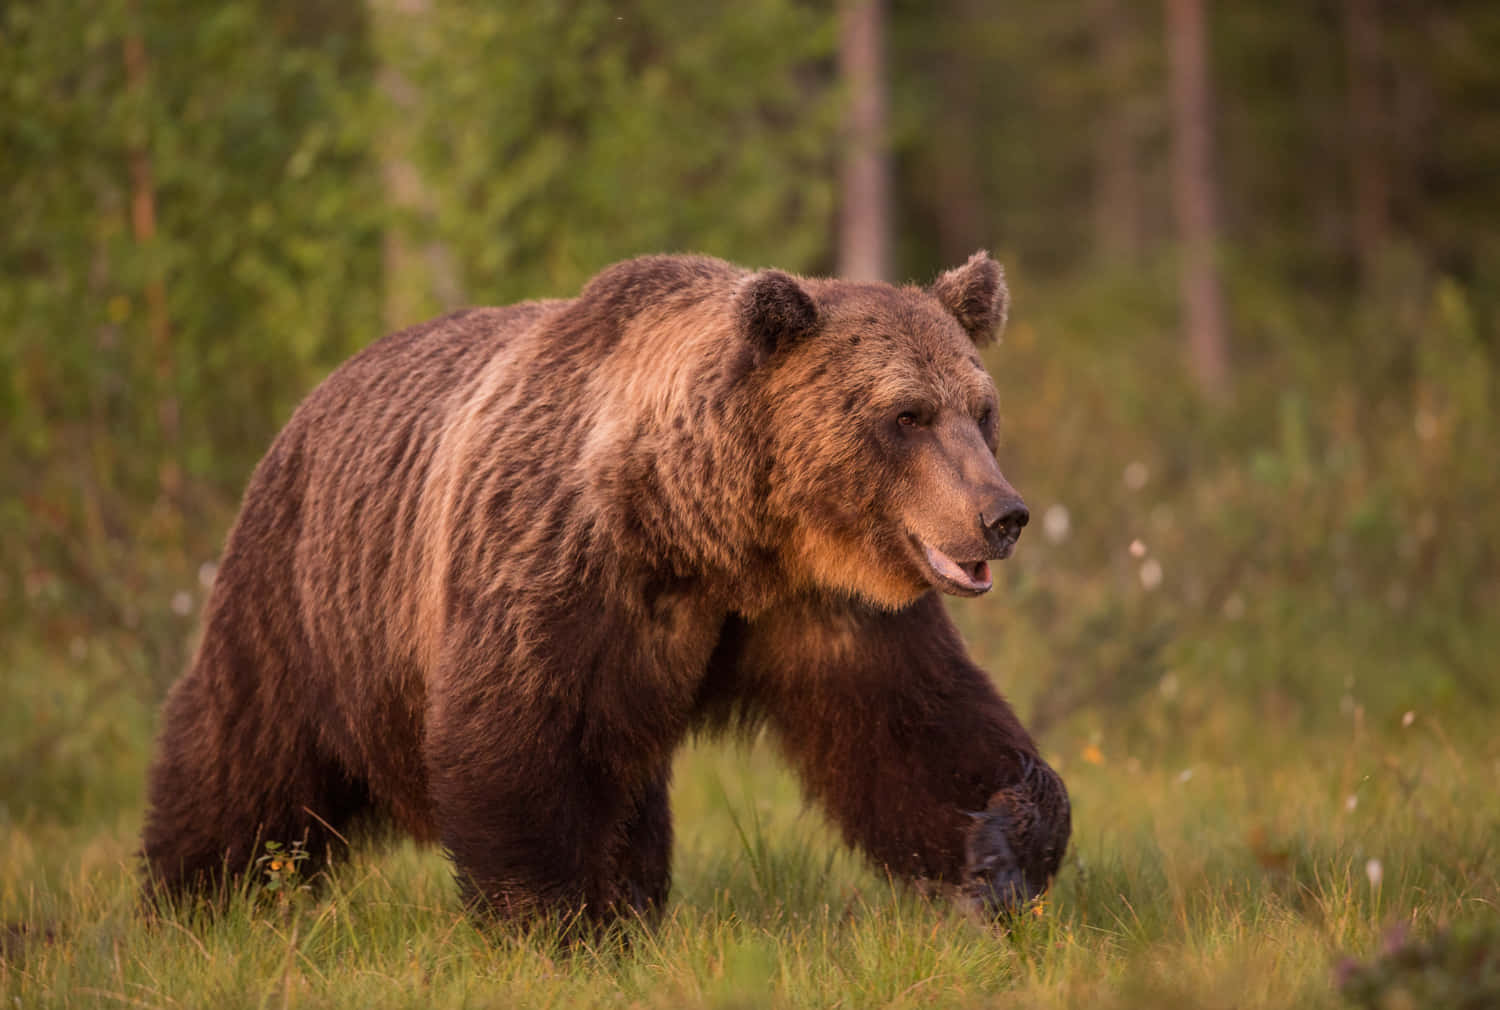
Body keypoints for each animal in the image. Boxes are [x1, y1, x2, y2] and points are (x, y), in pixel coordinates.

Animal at [141, 251, 1071, 929]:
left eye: (979, 408)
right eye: (906, 415)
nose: (1002, 515)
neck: (712, 534)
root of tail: (318, 393)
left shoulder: (828, 607)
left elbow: (914, 731)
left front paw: (1000, 850)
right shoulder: (561, 564)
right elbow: (519, 739)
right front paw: (561, 923)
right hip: (307, 596)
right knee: (243, 756)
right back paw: (193, 901)